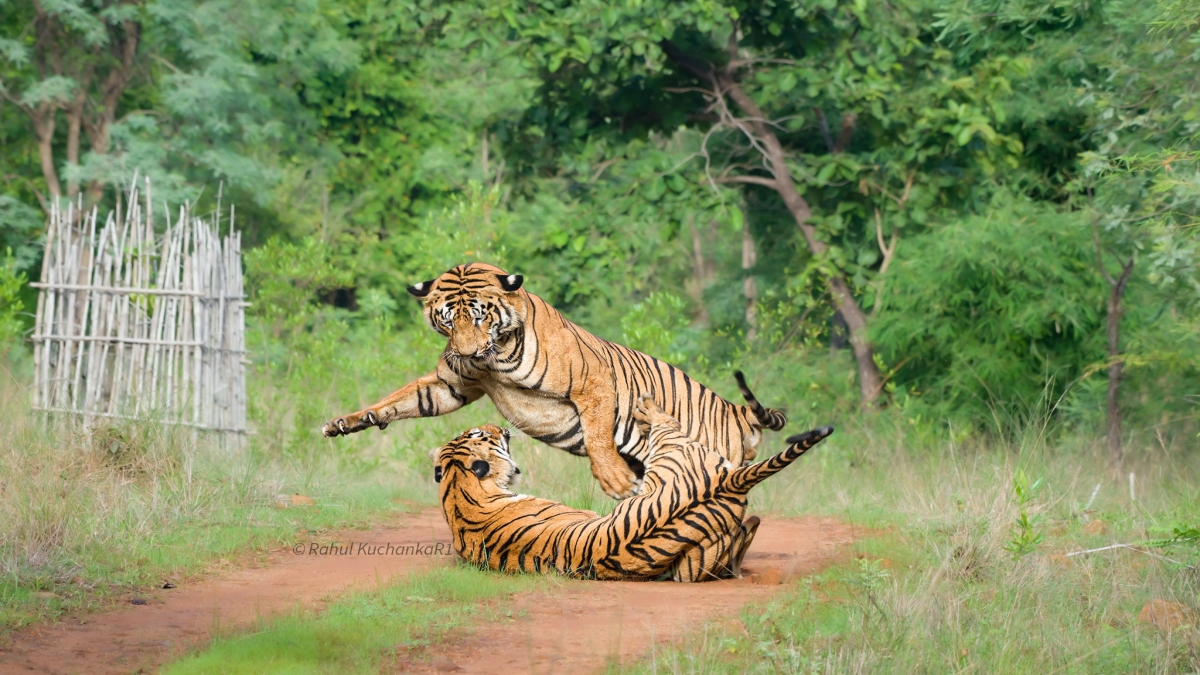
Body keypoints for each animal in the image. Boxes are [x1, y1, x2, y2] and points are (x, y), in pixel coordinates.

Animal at [321, 260, 787, 497]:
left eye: (481, 316)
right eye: (448, 320)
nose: (467, 352)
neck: (492, 359)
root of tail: (737, 411)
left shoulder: (593, 382)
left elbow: (597, 436)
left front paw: (616, 480)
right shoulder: (451, 384)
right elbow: (400, 400)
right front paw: (347, 422)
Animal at [434, 396, 835, 581]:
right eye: (481, 434)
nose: (499, 426)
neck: (458, 497)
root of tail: (721, 482)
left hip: (693, 563)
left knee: (741, 537)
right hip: (673, 448)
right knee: (665, 425)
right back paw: (647, 407)